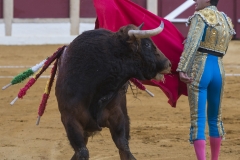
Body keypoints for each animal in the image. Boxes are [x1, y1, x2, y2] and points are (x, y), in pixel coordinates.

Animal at [54, 23, 171, 159]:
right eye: (146, 44)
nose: (168, 64)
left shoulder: (117, 116)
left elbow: (123, 147)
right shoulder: (70, 119)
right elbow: (82, 152)